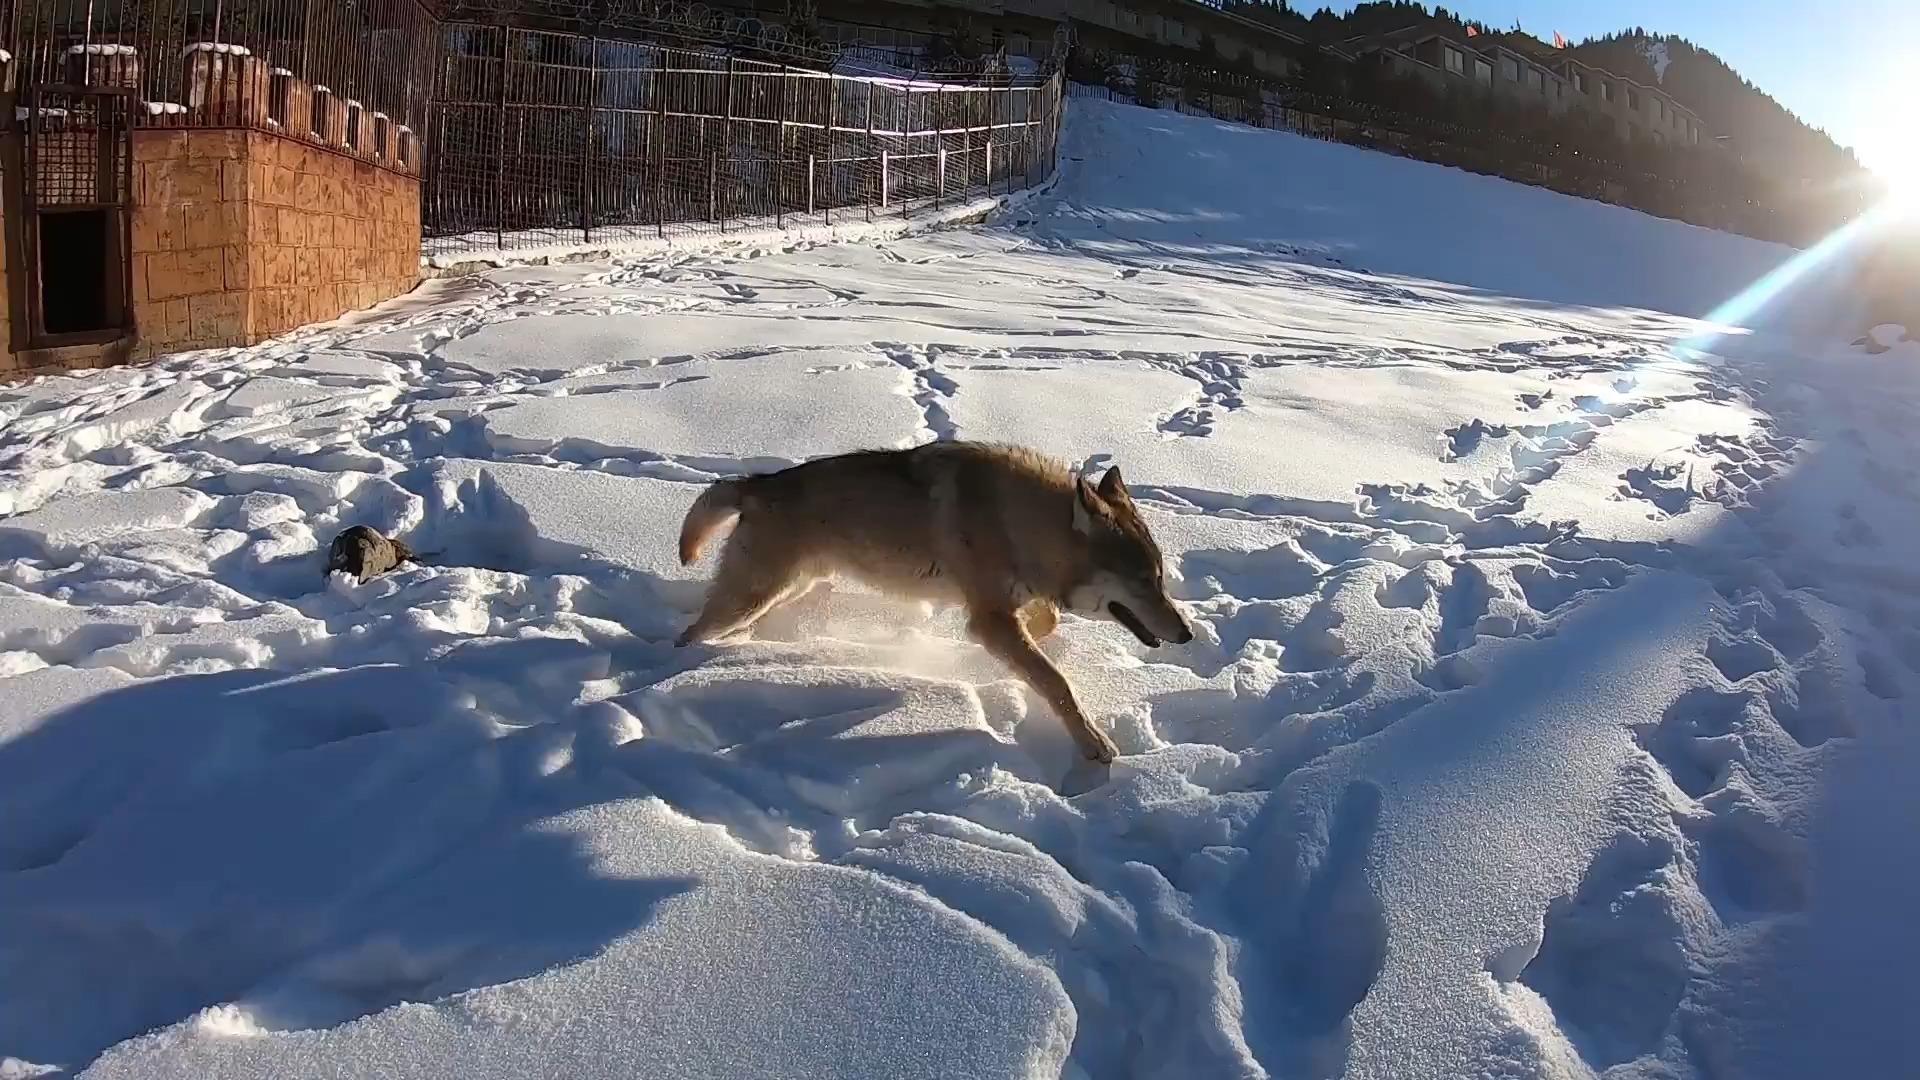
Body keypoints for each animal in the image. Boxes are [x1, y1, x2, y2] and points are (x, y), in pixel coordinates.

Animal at [672, 438, 1182, 757]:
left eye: (1160, 579)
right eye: (1145, 581)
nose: (1188, 634)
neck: (1018, 521)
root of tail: (757, 483)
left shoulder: (1002, 609)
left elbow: (1045, 628)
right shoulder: (991, 617)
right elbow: (1056, 682)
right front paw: (1094, 744)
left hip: (789, 587)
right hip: (751, 596)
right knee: (688, 634)